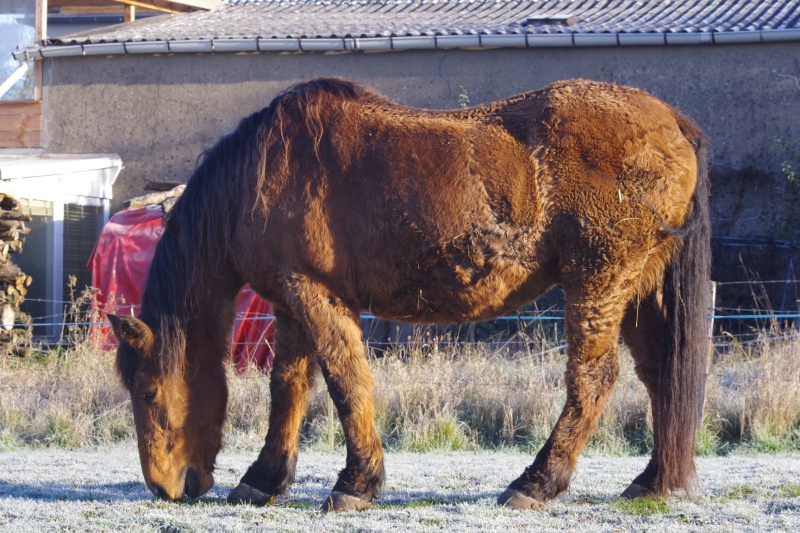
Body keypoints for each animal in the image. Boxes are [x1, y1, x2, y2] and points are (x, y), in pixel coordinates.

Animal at [108, 77, 712, 510]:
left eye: (148, 392)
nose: (165, 487)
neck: (257, 178)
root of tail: (672, 123)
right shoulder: (290, 304)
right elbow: (289, 389)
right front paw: (264, 479)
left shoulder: (316, 297)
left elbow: (345, 382)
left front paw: (355, 484)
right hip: (637, 288)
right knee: (660, 373)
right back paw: (653, 481)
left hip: (598, 280)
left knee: (593, 378)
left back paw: (536, 483)